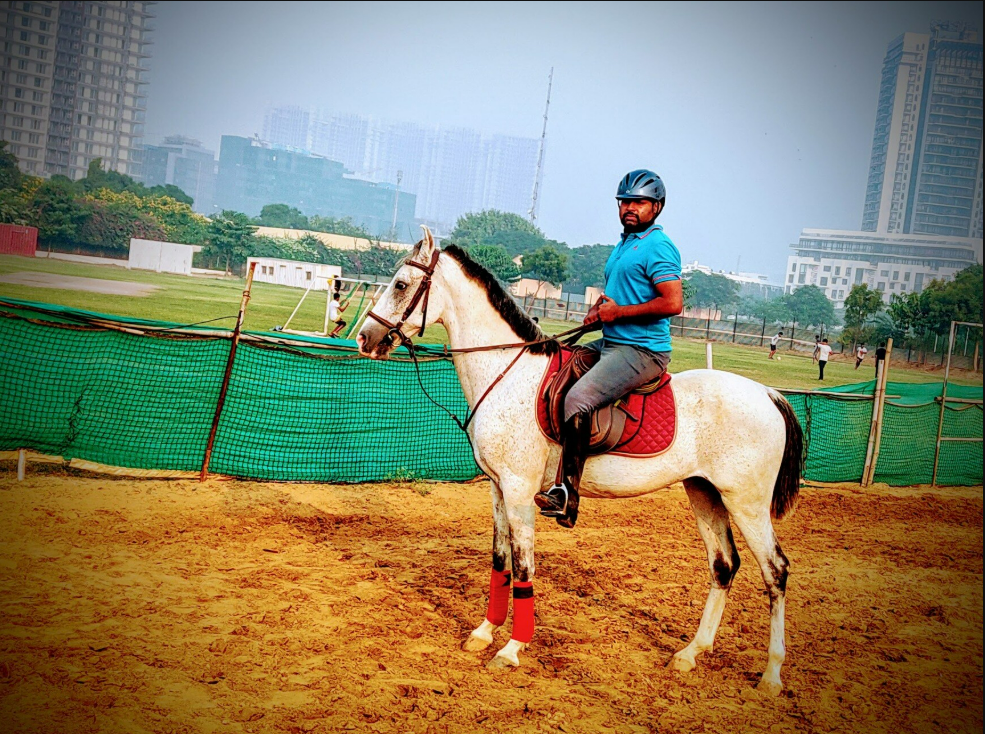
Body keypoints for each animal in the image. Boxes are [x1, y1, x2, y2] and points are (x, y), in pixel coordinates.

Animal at [356, 228, 802, 695]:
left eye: (400, 285)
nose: (365, 339)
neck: (506, 372)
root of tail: (770, 394)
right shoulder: (497, 488)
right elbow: (499, 561)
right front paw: (484, 632)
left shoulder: (519, 491)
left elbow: (524, 566)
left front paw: (512, 648)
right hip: (705, 493)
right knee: (724, 565)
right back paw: (691, 653)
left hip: (747, 502)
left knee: (775, 571)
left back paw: (772, 674)